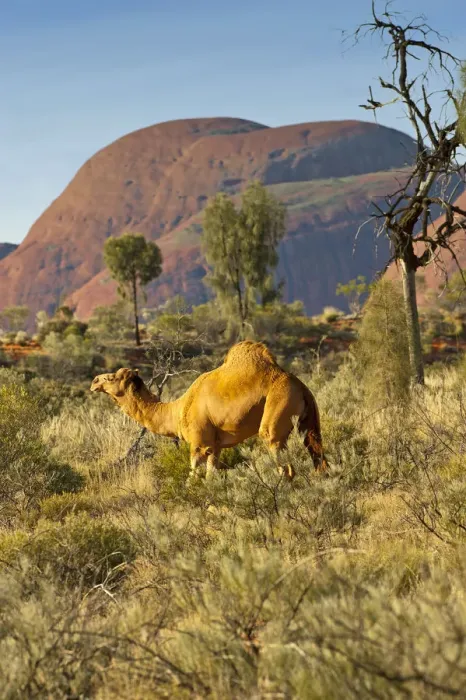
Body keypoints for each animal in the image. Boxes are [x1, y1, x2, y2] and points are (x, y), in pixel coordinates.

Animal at [90, 341, 327, 481]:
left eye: (111, 378)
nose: (94, 382)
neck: (177, 411)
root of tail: (300, 385)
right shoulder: (215, 447)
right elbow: (212, 475)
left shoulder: (199, 443)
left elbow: (193, 476)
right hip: (309, 418)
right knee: (315, 452)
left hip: (278, 406)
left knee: (281, 459)